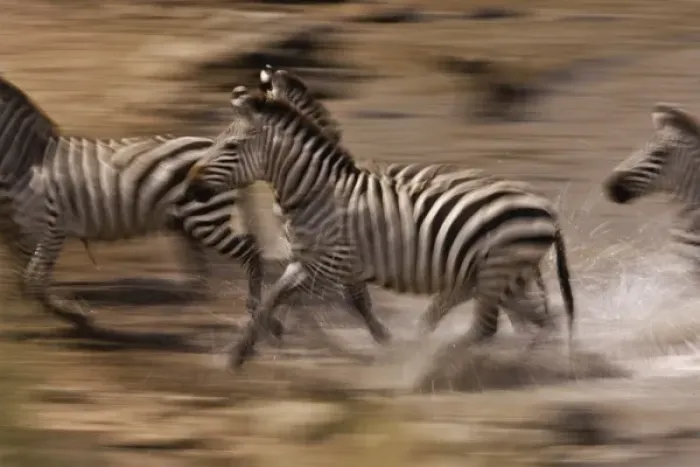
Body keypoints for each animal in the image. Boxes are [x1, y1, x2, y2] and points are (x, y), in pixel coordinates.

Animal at [0, 77, 263, 329]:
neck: (27, 162)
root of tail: (211, 142)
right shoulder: (19, 233)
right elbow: (26, 280)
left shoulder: (51, 228)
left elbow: (33, 280)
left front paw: (76, 315)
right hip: (189, 221)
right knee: (201, 267)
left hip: (206, 218)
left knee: (251, 252)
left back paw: (254, 309)